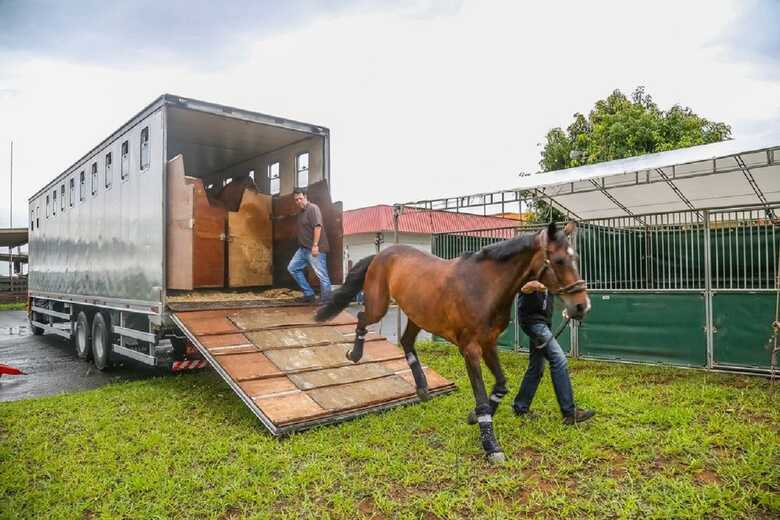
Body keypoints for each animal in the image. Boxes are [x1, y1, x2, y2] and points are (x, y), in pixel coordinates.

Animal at [315, 221, 590, 463]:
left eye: (575, 258)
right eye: (559, 261)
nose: (581, 306)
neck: (484, 287)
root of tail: (381, 253)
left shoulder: (488, 344)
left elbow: (501, 385)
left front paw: (474, 417)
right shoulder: (470, 350)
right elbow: (482, 397)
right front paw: (491, 446)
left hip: (417, 315)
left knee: (406, 342)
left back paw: (422, 387)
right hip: (378, 304)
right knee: (363, 319)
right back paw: (355, 354)